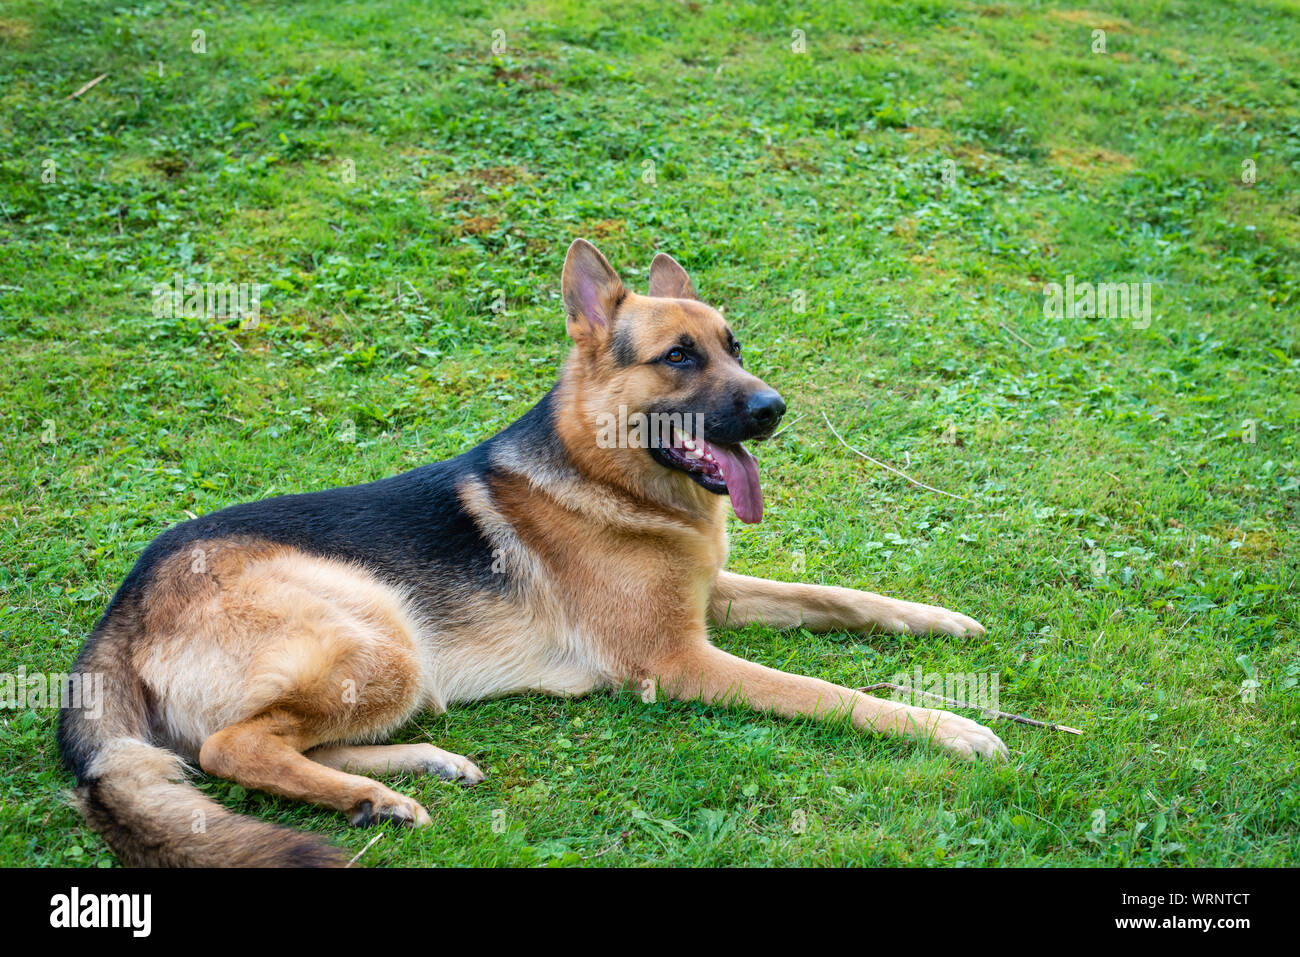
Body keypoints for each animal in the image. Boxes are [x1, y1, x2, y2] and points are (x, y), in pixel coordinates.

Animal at [58, 240, 1003, 868]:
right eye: (679, 356)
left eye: (734, 345)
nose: (773, 409)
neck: (607, 476)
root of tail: (122, 609)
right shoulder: (679, 659)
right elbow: (830, 691)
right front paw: (949, 725)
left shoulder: (716, 594)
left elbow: (835, 594)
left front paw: (938, 620)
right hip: (380, 635)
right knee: (231, 749)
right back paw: (374, 791)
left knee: (279, 744)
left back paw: (399, 777)